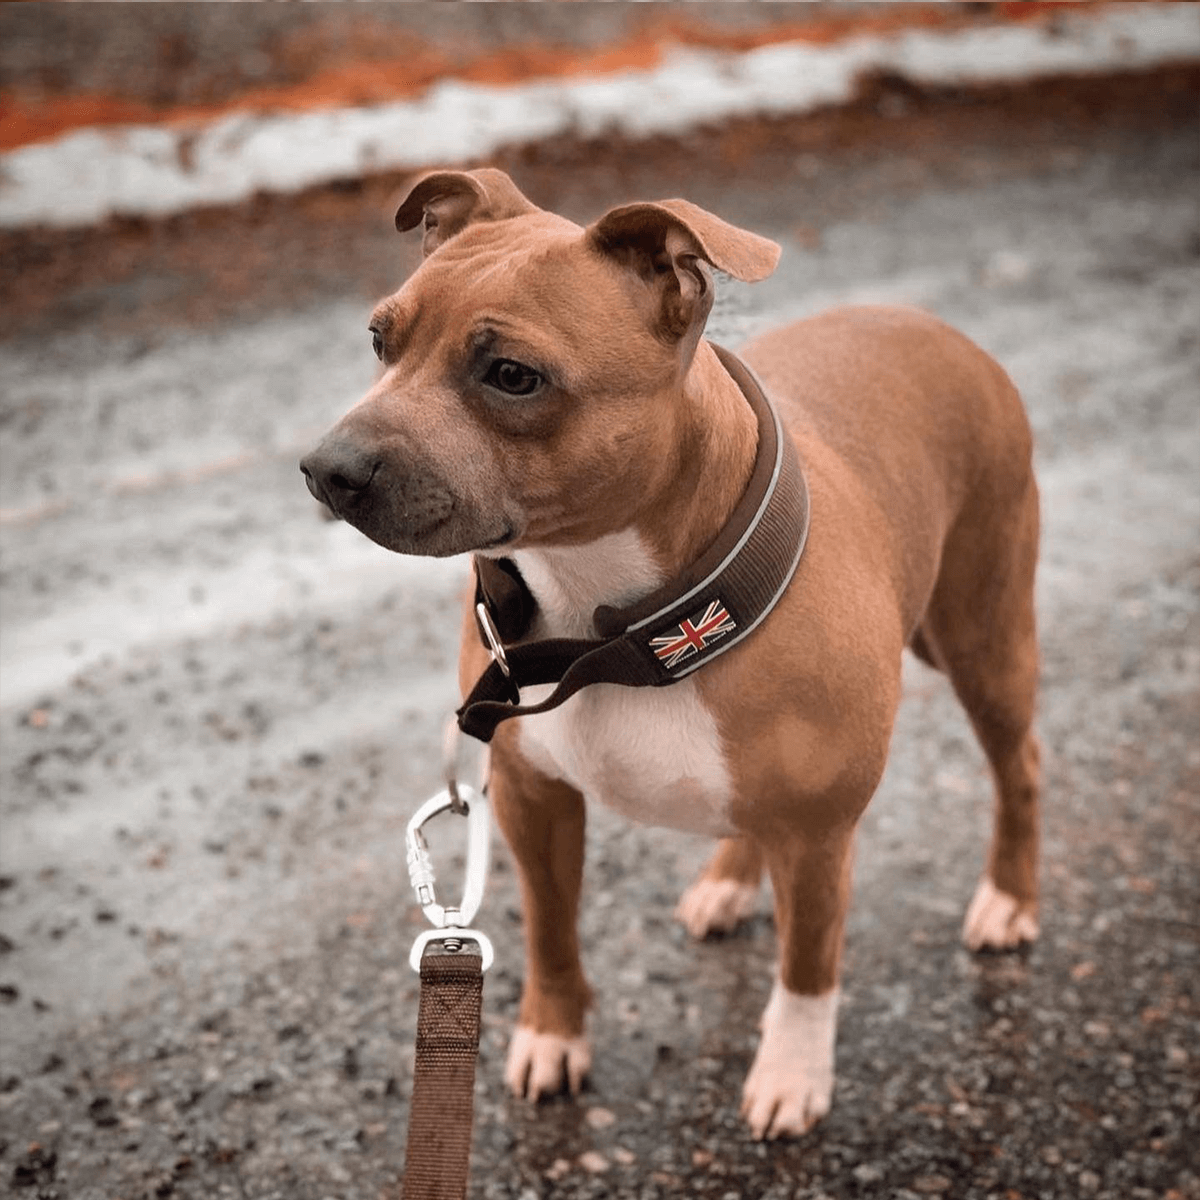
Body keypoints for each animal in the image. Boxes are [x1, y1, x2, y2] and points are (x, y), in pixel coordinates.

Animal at [302, 166, 1041, 1132]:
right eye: (379, 339)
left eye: (512, 376)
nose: (329, 468)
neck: (616, 631)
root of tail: (934, 325)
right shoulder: (534, 799)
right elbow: (551, 932)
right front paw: (552, 1036)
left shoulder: (820, 832)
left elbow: (809, 966)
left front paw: (792, 1074)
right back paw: (730, 880)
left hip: (985, 642)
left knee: (1019, 767)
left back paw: (1010, 899)